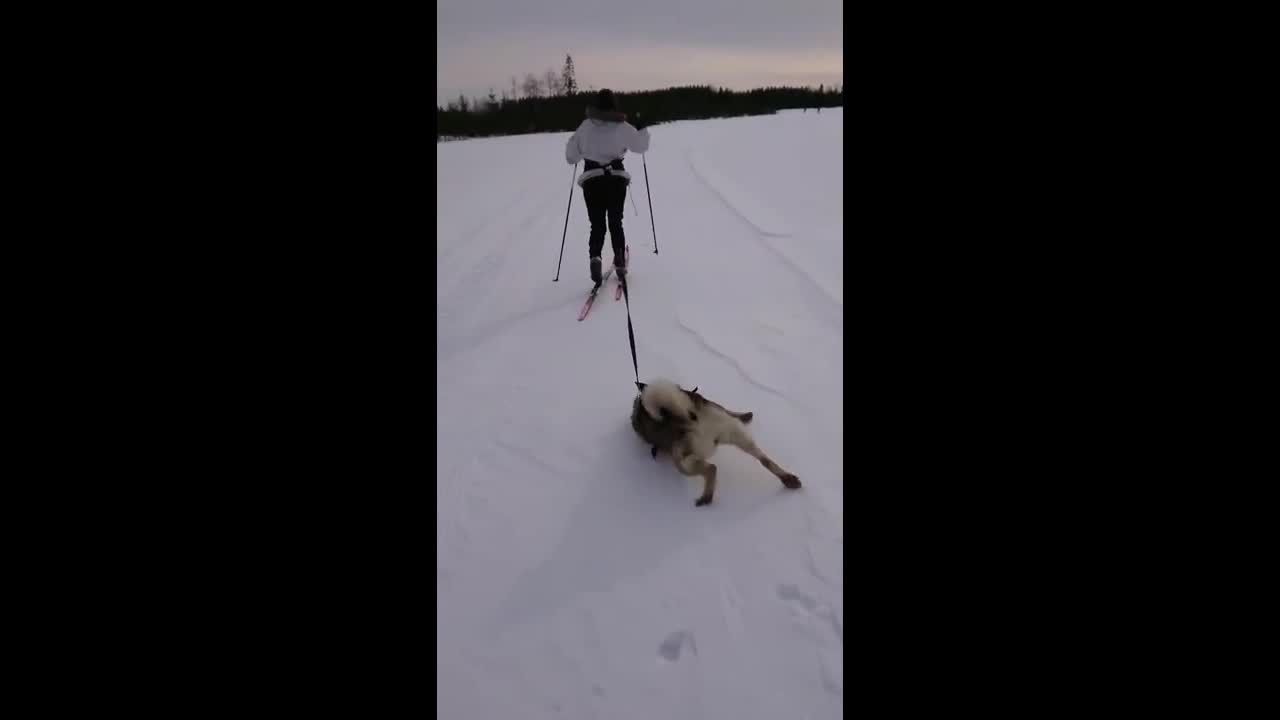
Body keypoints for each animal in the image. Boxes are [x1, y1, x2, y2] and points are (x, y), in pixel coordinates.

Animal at [629, 376, 798, 504]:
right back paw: (788, 479)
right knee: (765, 460)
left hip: (683, 462)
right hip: (737, 435)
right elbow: (734, 412)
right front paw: (745, 416)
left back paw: (706, 498)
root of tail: (691, 419)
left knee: (712, 469)